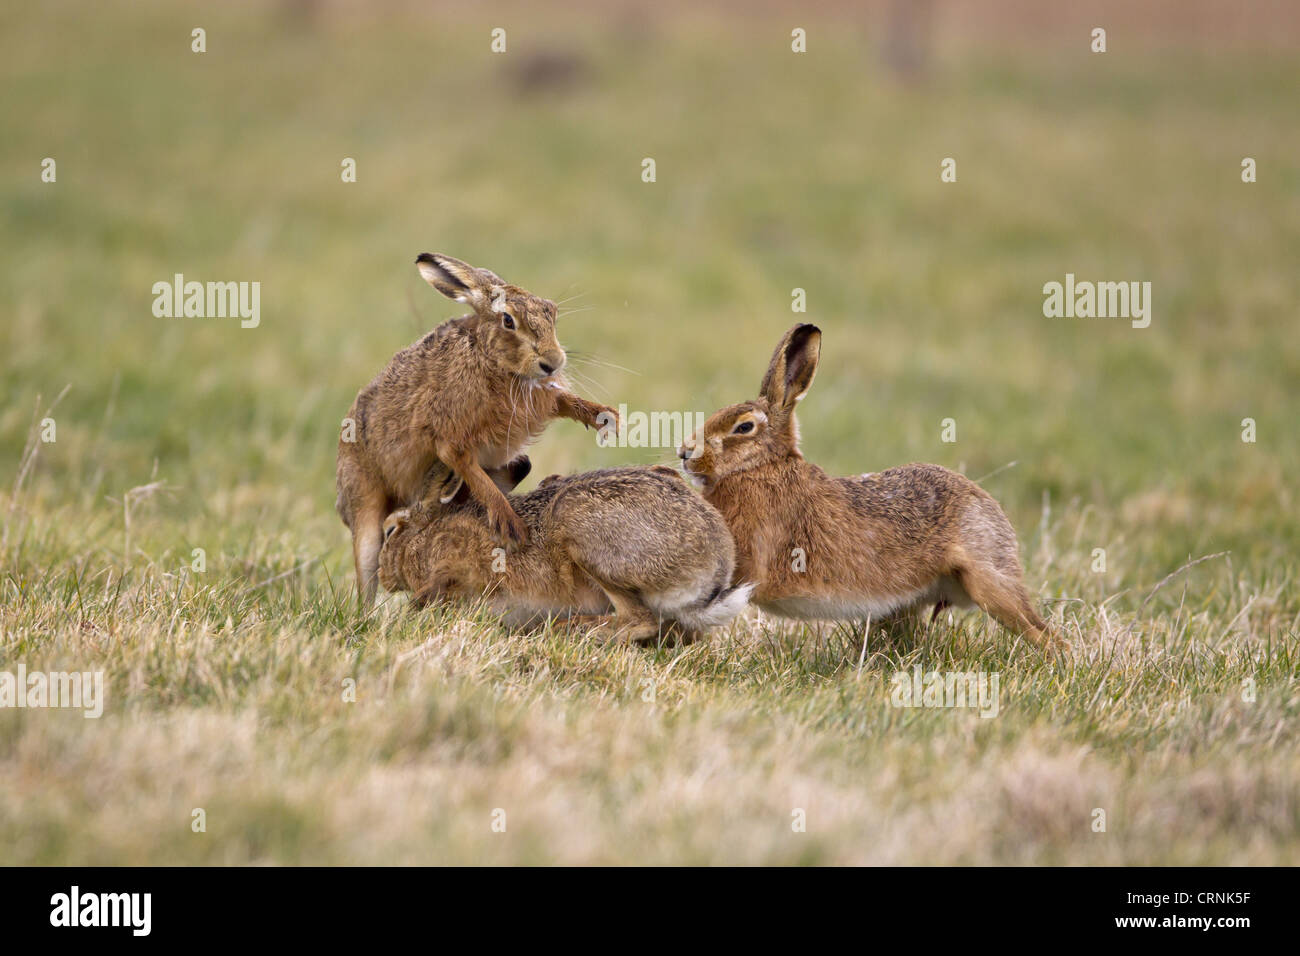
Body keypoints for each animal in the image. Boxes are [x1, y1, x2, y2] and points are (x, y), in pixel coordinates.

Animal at [336, 253, 618, 608]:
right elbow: (475, 475)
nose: (553, 362)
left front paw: (605, 417)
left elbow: (564, 402)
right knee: (368, 566)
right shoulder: (452, 441)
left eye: (551, 311)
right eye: (508, 321)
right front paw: (511, 528)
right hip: (365, 509)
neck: (491, 359)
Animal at [377, 464, 753, 643]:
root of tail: (715, 566)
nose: (382, 577)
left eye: (390, 530)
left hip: (579, 527)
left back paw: (572, 629)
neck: (424, 536)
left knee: (640, 620)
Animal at [676, 323, 1056, 647]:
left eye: (744, 427)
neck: (761, 466)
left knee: (1043, 634)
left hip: (988, 582)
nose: (684, 452)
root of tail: (988, 506)